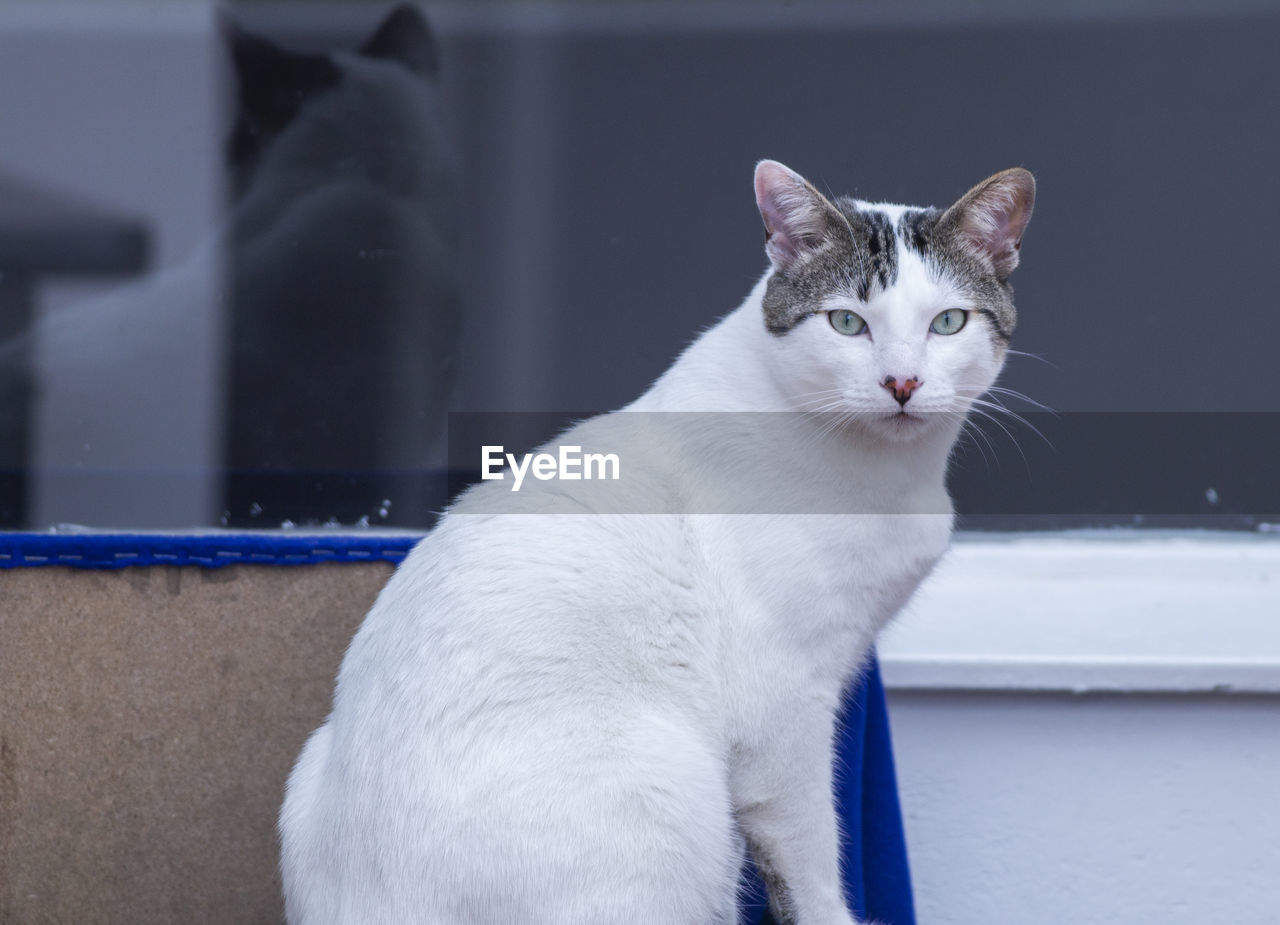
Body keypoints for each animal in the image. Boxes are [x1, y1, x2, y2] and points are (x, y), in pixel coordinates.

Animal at [277, 161, 1029, 925]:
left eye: (947, 322)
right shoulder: (784, 708)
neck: (894, 476)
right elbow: (811, 864)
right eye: (848, 321)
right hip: (672, 791)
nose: (902, 382)